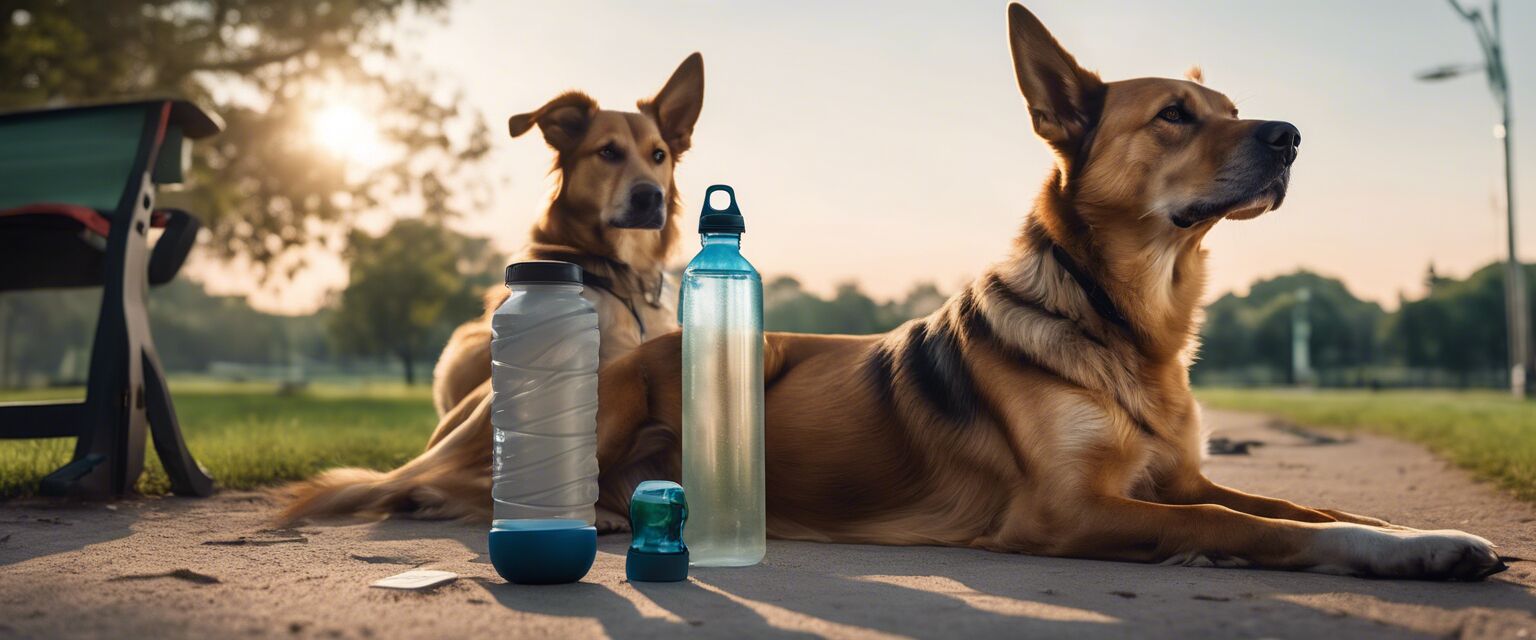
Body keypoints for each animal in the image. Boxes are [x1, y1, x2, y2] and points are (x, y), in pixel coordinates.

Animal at [282, 3, 1505, 577]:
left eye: (1235, 109)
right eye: (1174, 115)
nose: (1292, 135)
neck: (1129, 324)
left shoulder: (1177, 473)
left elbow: (1309, 508)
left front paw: (1422, 540)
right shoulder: (1068, 510)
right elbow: (1244, 526)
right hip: (656, 370)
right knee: (463, 492)